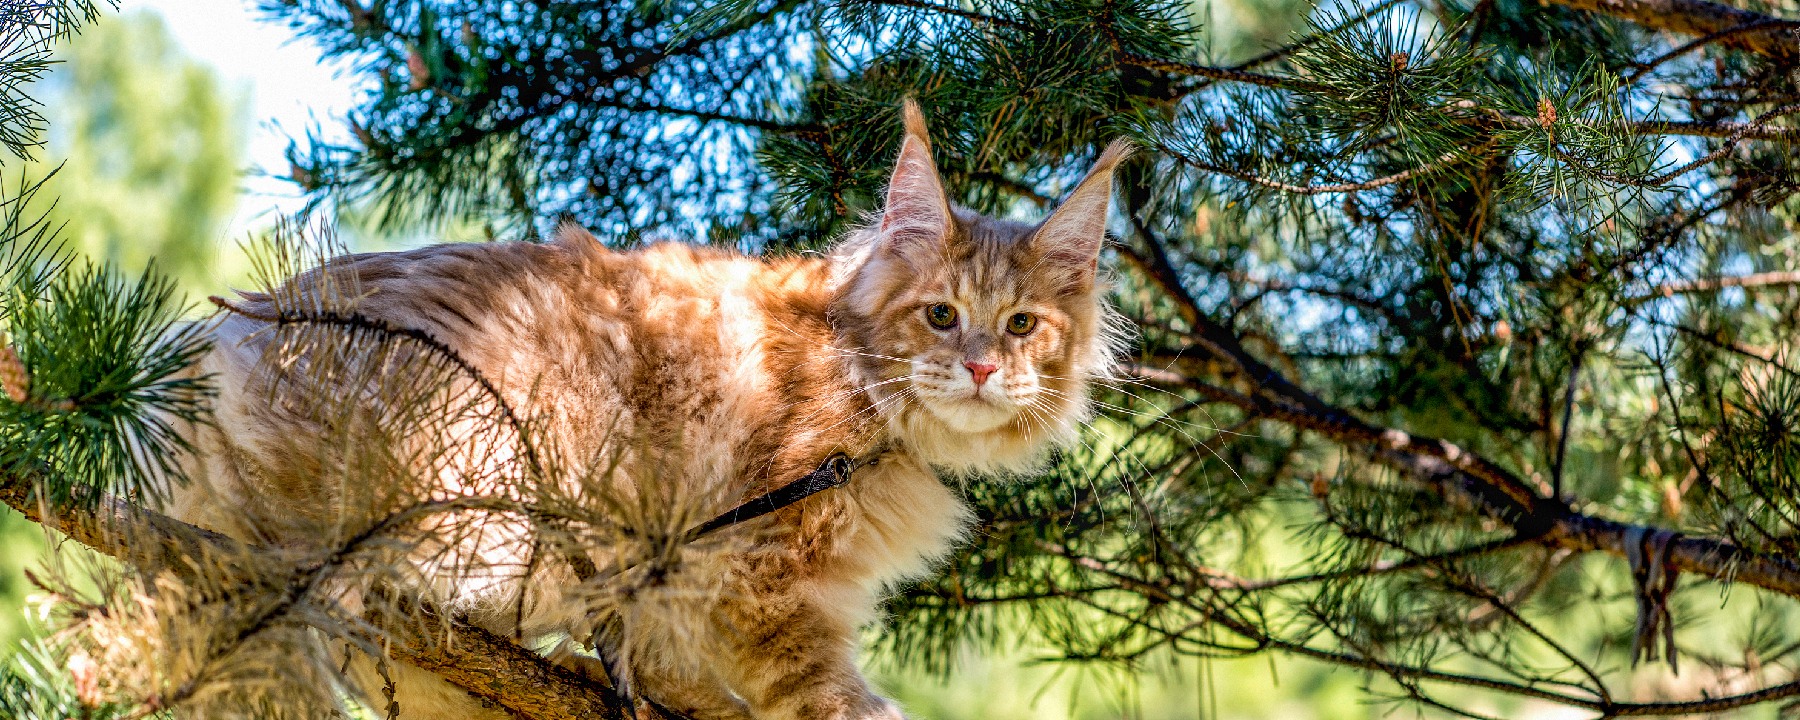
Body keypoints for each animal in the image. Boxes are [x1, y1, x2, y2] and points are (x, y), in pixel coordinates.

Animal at [165, 102, 1123, 720]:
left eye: (1023, 325)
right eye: (940, 315)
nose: (981, 366)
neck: (867, 394)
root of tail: (222, 345)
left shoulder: (679, 569)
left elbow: (663, 651)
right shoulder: (754, 564)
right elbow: (801, 678)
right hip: (491, 489)